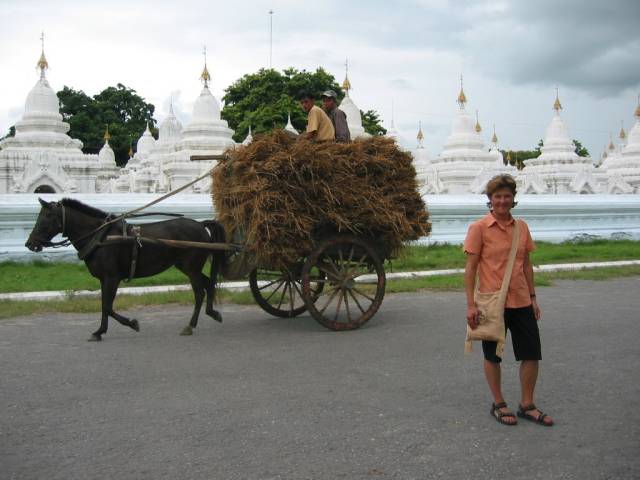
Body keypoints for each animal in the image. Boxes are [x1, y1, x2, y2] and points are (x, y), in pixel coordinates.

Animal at [26, 199, 228, 342]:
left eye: (46, 218)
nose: (30, 243)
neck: (101, 238)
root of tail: (200, 225)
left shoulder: (112, 278)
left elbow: (108, 307)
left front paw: (132, 323)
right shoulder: (104, 280)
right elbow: (104, 306)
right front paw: (99, 332)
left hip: (191, 268)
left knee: (200, 292)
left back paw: (191, 325)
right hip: (188, 267)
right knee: (209, 284)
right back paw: (212, 313)